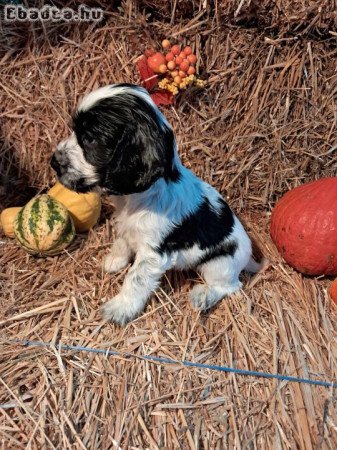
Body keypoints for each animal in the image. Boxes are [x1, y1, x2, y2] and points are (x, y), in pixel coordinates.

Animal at [50, 83, 260, 324]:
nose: (53, 162)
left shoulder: (153, 253)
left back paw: (202, 296)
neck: (138, 198)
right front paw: (114, 260)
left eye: (90, 139)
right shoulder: (127, 225)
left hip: (219, 264)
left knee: (230, 286)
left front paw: (120, 309)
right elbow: (123, 240)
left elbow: (136, 279)